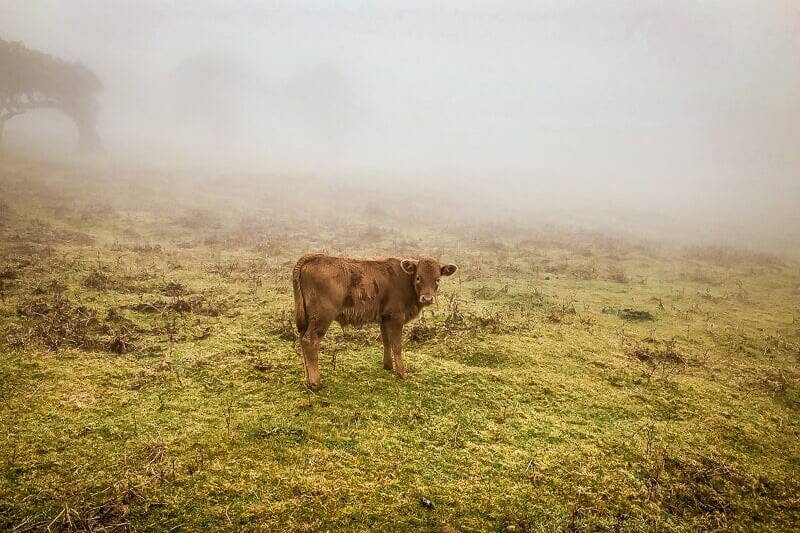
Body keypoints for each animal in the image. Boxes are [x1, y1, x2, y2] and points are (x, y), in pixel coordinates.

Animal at [292, 254, 458, 390]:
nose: (428, 298)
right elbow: (397, 345)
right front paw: (402, 372)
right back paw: (315, 383)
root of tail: (314, 257)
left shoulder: (384, 318)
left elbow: (386, 341)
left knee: (302, 340)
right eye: (418, 278)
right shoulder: (396, 317)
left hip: (307, 319)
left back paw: (307, 380)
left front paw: (388, 365)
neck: (405, 281)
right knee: (310, 341)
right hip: (322, 317)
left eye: (438, 279)